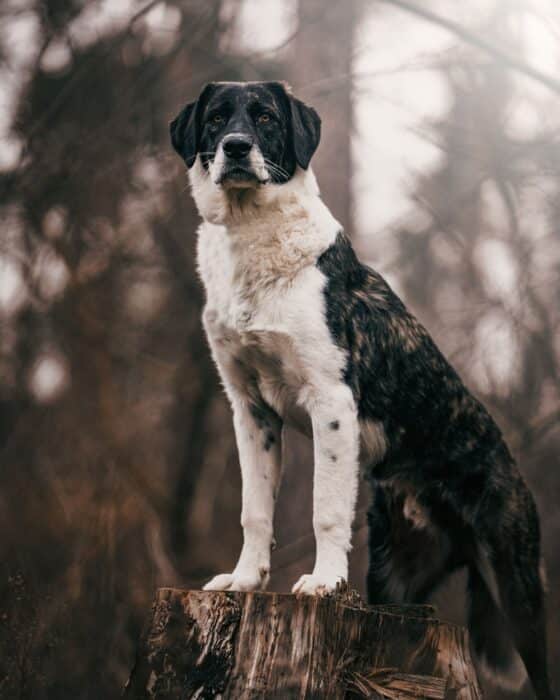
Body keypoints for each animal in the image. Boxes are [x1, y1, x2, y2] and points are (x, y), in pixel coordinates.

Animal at [171, 82, 556, 700]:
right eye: (215, 119)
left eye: (266, 118)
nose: (235, 147)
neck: (255, 240)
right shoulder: (250, 410)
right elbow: (255, 511)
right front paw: (245, 580)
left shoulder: (330, 401)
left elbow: (325, 510)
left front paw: (323, 583)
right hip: (393, 578)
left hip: (516, 586)